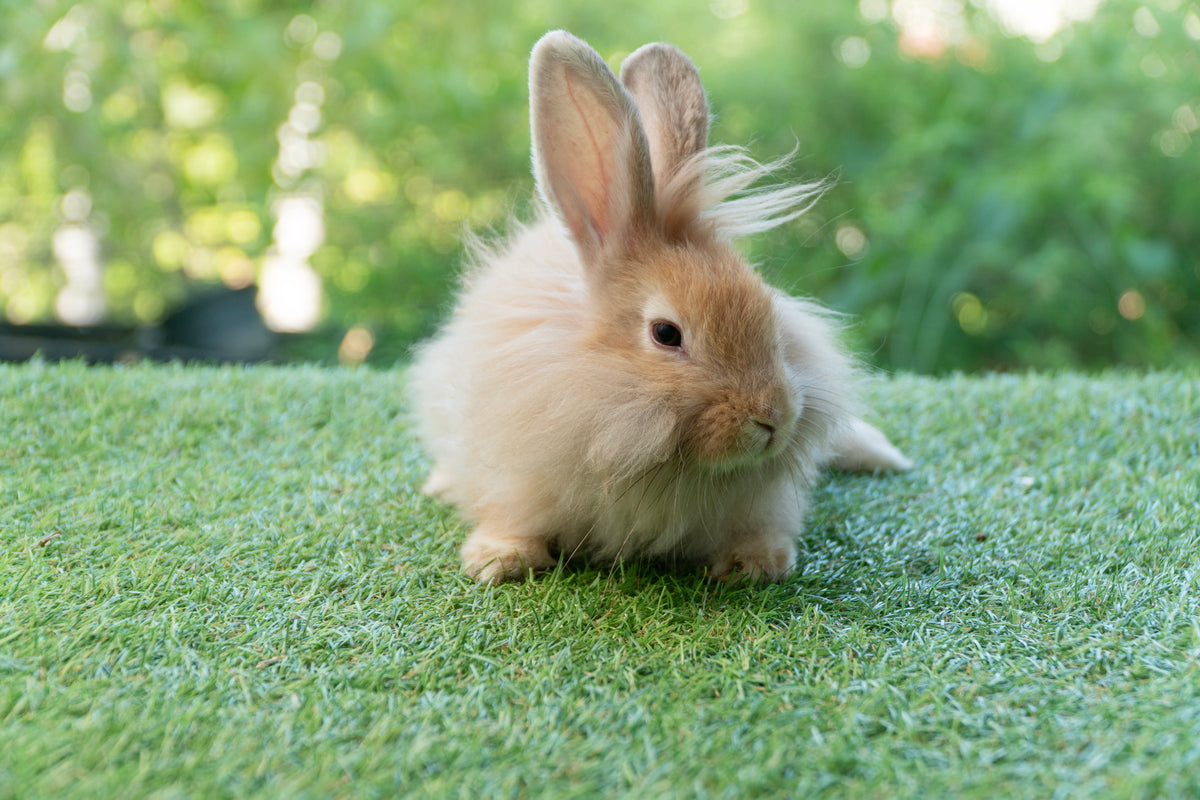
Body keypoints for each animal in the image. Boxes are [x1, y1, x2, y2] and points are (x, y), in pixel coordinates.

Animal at [410, 30, 912, 584]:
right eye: (666, 334)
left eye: (770, 313)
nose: (773, 419)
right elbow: (511, 518)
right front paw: (498, 560)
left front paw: (759, 563)